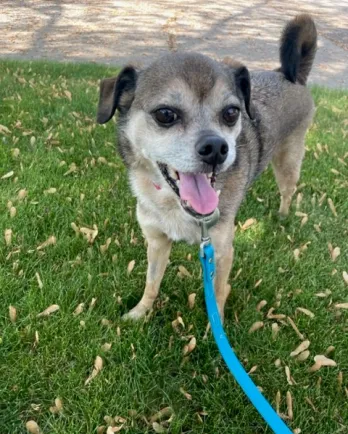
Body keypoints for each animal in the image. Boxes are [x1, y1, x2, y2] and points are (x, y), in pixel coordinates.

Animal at [96, 15, 316, 320]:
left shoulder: (222, 250)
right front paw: (139, 313)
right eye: (165, 114)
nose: (216, 148)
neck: (174, 204)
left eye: (231, 113)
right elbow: (152, 282)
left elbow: (219, 293)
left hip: (288, 162)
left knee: (287, 192)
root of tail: (288, 74)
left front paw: (214, 326)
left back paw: (283, 216)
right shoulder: (156, 241)